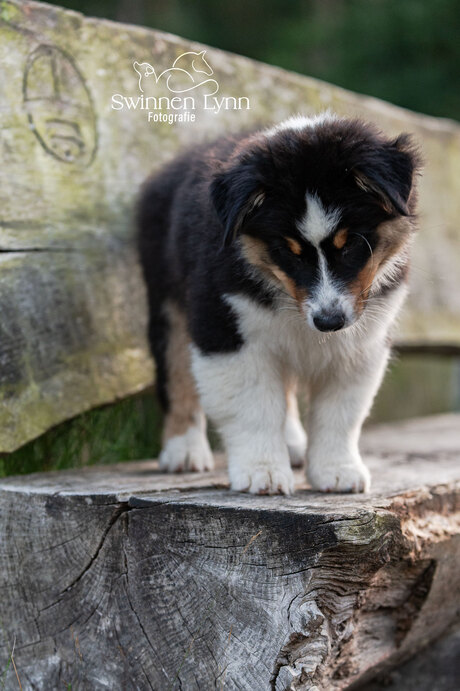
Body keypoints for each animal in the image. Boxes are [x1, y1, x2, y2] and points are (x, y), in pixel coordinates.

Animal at [138, 112, 422, 492]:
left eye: (350, 244)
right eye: (289, 252)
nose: (328, 323)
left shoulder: (363, 339)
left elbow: (341, 411)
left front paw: (337, 471)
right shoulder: (224, 326)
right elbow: (252, 408)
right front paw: (263, 473)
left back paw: (292, 444)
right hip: (168, 301)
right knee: (176, 373)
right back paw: (183, 450)